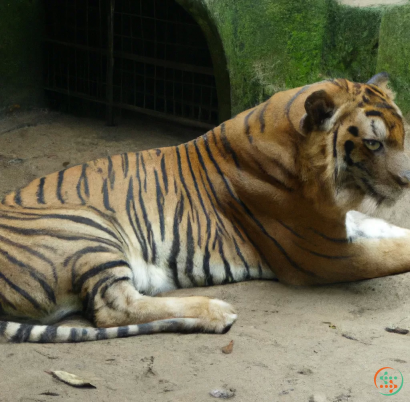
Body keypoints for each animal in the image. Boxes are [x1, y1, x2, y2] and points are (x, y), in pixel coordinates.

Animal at [0, 73, 410, 342]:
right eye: (373, 143)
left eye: (402, 135)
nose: (408, 179)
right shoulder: (322, 255)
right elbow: (391, 253)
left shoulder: (342, 224)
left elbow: (389, 231)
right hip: (87, 227)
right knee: (113, 308)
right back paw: (217, 311)